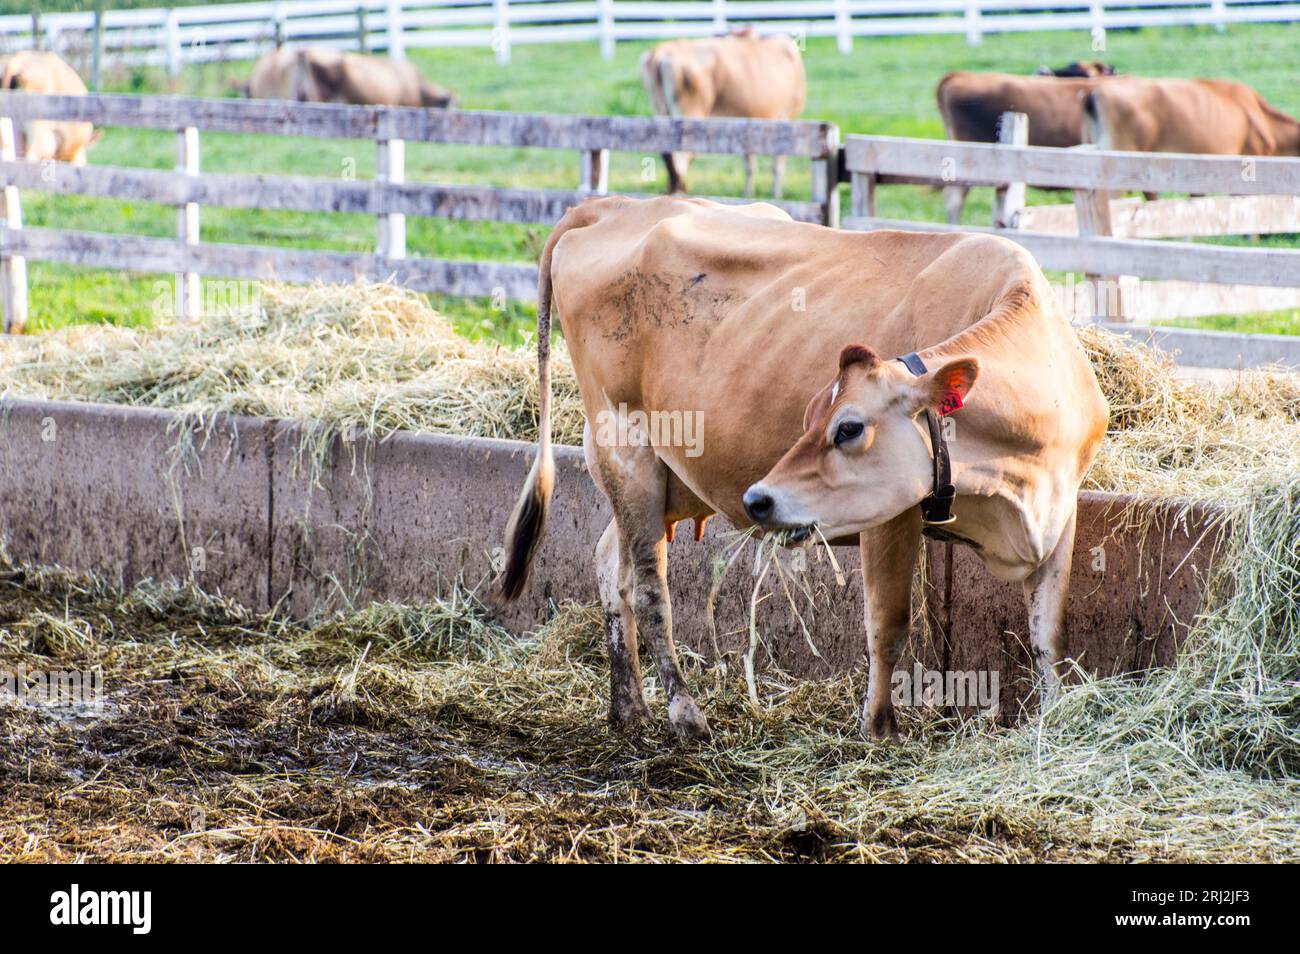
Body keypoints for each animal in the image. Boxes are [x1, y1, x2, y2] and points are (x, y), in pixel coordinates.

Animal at [496, 196, 1107, 748]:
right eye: (814, 416)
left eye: (848, 427)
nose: (759, 499)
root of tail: (613, 205)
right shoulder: (891, 515)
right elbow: (888, 622)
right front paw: (879, 730)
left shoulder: (1062, 513)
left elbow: (1048, 629)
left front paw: (1054, 717)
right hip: (626, 447)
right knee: (646, 587)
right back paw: (684, 713)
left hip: (668, 481)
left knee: (609, 563)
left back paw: (628, 707)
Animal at [637, 28, 806, 198]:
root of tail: (660, 52)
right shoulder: (786, 118)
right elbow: (776, 162)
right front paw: (775, 193)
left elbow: (750, 161)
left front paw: (748, 193)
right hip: (690, 115)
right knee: (680, 156)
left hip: (661, 112)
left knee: (668, 154)